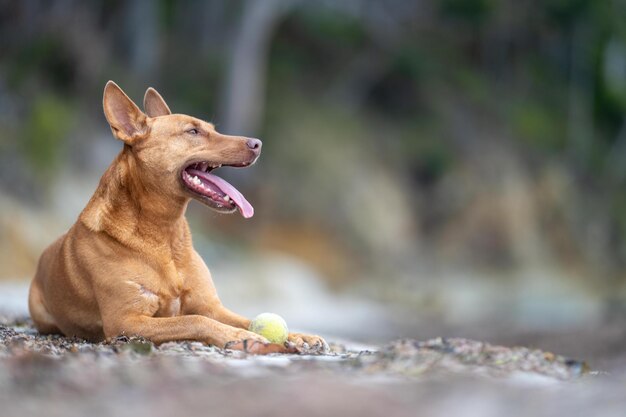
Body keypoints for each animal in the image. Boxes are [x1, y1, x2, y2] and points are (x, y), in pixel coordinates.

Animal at [28, 82, 326, 354]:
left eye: (213, 128)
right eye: (193, 131)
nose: (258, 143)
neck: (165, 234)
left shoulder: (211, 306)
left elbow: (245, 318)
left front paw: (299, 336)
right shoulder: (126, 321)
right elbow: (195, 320)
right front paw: (241, 336)